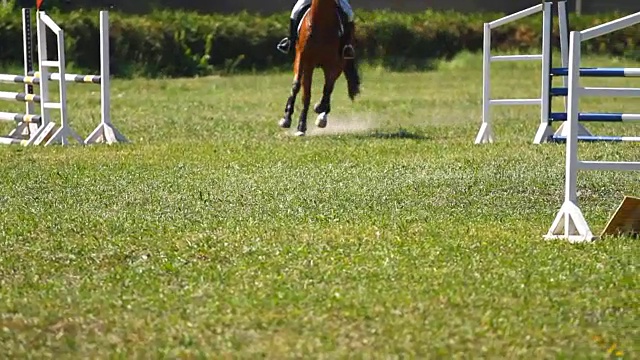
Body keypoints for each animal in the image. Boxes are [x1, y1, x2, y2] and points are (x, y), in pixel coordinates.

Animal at [278, 0, 362, 136]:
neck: (322, 22)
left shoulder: (333, 64)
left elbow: (327, 89)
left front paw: (319, 110)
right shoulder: (305, 61)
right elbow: (302, 91)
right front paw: (296, 124)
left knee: (329, 88)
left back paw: (322, 115)